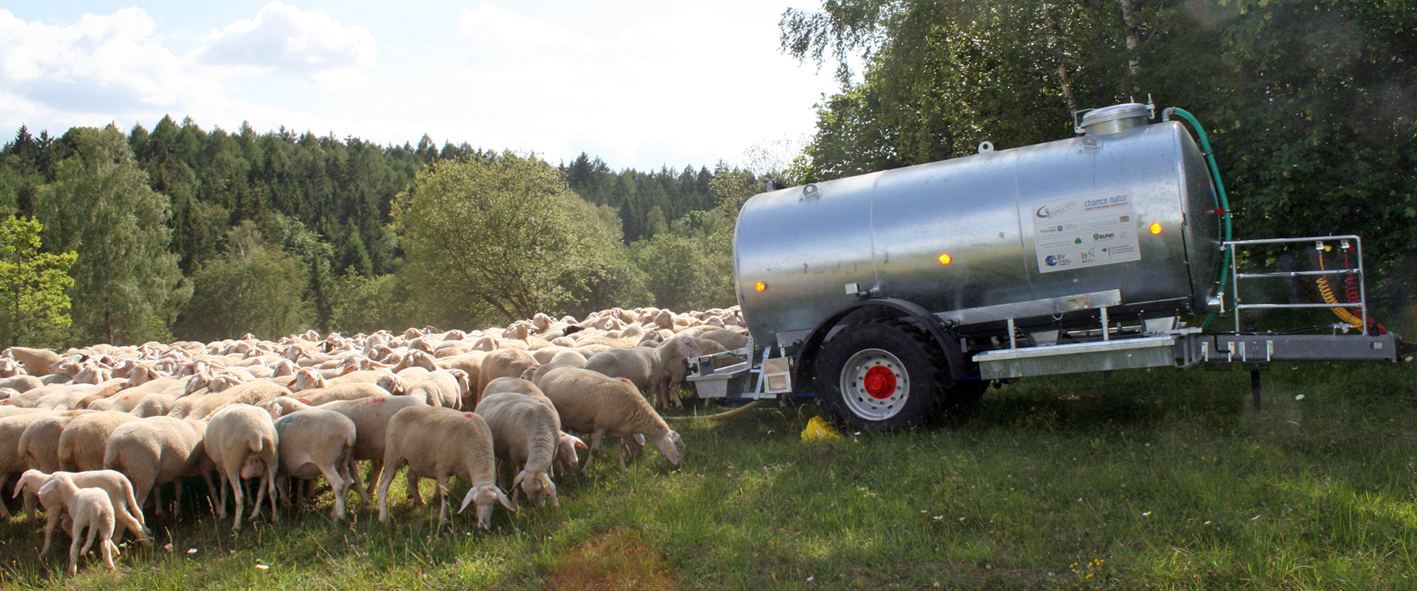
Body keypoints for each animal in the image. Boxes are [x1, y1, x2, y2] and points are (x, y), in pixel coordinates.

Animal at [12, 467, 148, 555]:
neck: (43, 482)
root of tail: (123, 480)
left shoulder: (54, 508)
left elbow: (49, 529)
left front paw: (44, 551)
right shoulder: (69, 508)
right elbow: (65, 524)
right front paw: (80, 540)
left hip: (116, 501)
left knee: (132, 522)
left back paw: (146, 544)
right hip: (120, 501)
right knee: (126, 521)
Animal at [374, 405, 512, 524]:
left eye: (494, 503)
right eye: (475, 502)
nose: (484, 526)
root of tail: (398, 412)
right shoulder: (442, 468)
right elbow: (445, 495)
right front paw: (443, 520)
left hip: (416, 459)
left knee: (411, 477)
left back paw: (420, 501)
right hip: (392, 456)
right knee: (383, 485)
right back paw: (383, 516)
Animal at [535, 365, 685, 473]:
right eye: (676, 444)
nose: (681, 465)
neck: (635, 405)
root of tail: (549, 373)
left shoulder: (618, 429)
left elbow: (620, 448)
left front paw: (623, 469)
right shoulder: (601, 426)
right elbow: (594, 449)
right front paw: (586, 471)